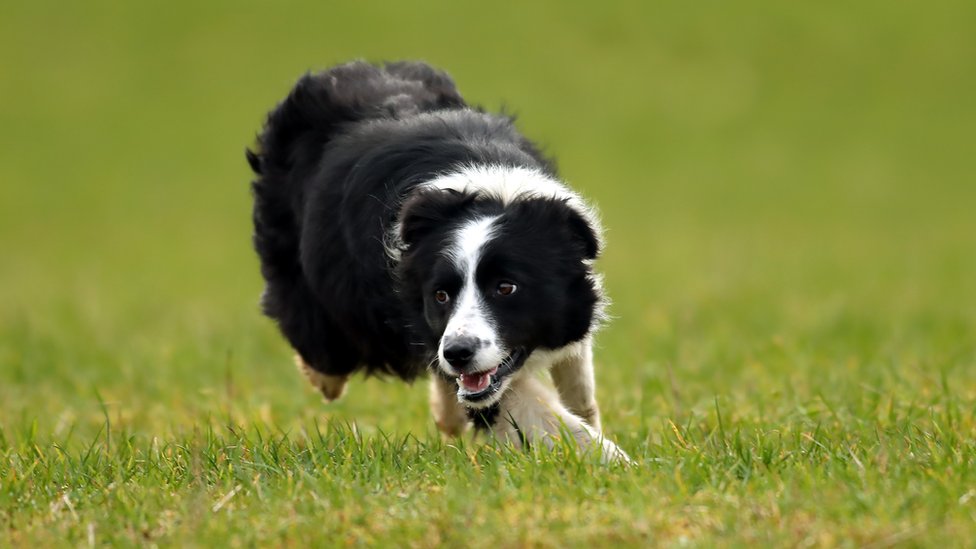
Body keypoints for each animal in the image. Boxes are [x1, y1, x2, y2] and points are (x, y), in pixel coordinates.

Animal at [248, 61, 628, 462]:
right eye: (440, 295)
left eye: (506, 288)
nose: (457, 353)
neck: (489, 190)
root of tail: (338, 70)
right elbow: (539, 410)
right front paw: (615, 462)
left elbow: (577, 376)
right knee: (319, 338)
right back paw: (328, 379)